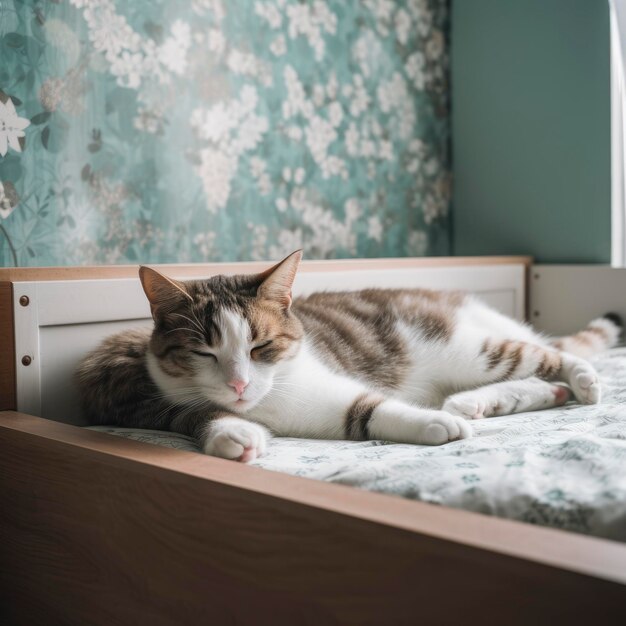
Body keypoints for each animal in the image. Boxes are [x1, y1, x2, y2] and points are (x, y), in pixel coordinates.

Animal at [77, 251, 620, 460]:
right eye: (203, 352)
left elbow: (366, 407)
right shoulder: (164, 397)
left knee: (543, 354)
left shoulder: (325, 387)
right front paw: (233, 434)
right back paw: (478, 404)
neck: (268, 401)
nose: (238, 384)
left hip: (468, 348)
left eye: (260, 346)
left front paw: (436, 425)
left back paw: (579, 379)